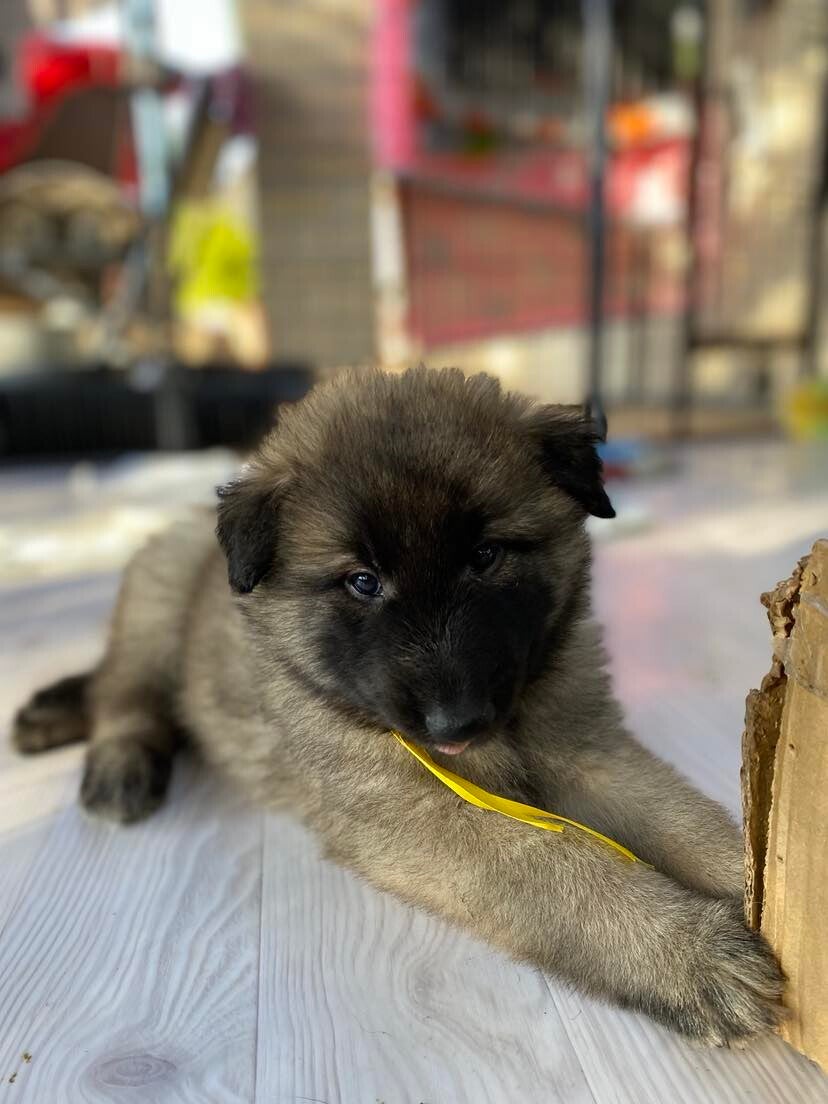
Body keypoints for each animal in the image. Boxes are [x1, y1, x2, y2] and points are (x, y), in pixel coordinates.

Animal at [13, 366, 783, 1045]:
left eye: (485, 556)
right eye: (362, 581)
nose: (456, 723)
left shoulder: (586, 748)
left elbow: (683, 820)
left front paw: (761, 885)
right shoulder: (413, 814)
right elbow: (556, 871)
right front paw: (690, 954)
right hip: (160, 591)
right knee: (123, 691)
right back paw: (115, 766)